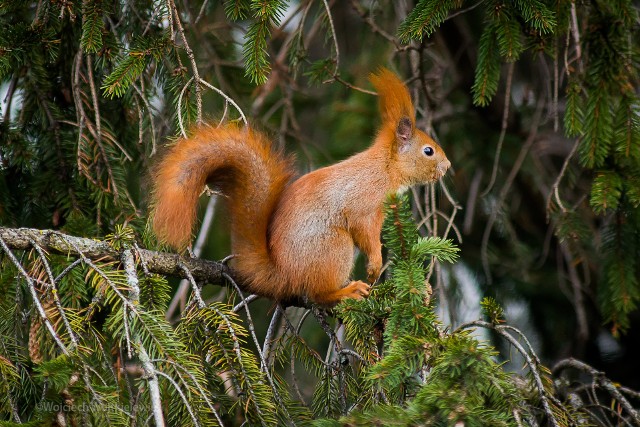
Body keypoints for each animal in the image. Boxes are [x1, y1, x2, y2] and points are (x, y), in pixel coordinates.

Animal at [150, 68, 450, 304]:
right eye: (428, 151)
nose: (447, 167)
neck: (385, 168)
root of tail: (284, 275)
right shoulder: (363, 203)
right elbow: (365, 232)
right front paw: (376, 264)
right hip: (334, 246)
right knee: (318, 295)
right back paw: (346, 292)